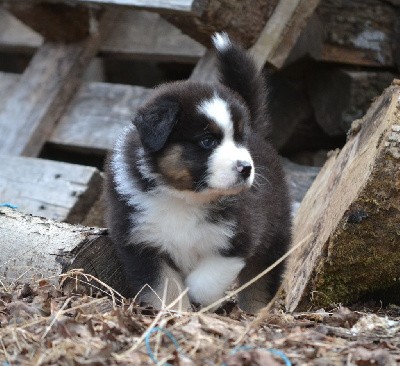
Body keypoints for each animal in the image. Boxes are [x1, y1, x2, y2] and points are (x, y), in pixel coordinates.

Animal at [104, 33, 290, 312]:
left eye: (239, 139)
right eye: (207, 141)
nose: (246, 168)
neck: (185, 198)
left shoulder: (238, 236)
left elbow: (208, 279)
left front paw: (198, 297)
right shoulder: (140, 240)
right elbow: (164, 286)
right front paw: (175, 312)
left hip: (274, 231)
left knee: (260, 279)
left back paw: (253, 311)